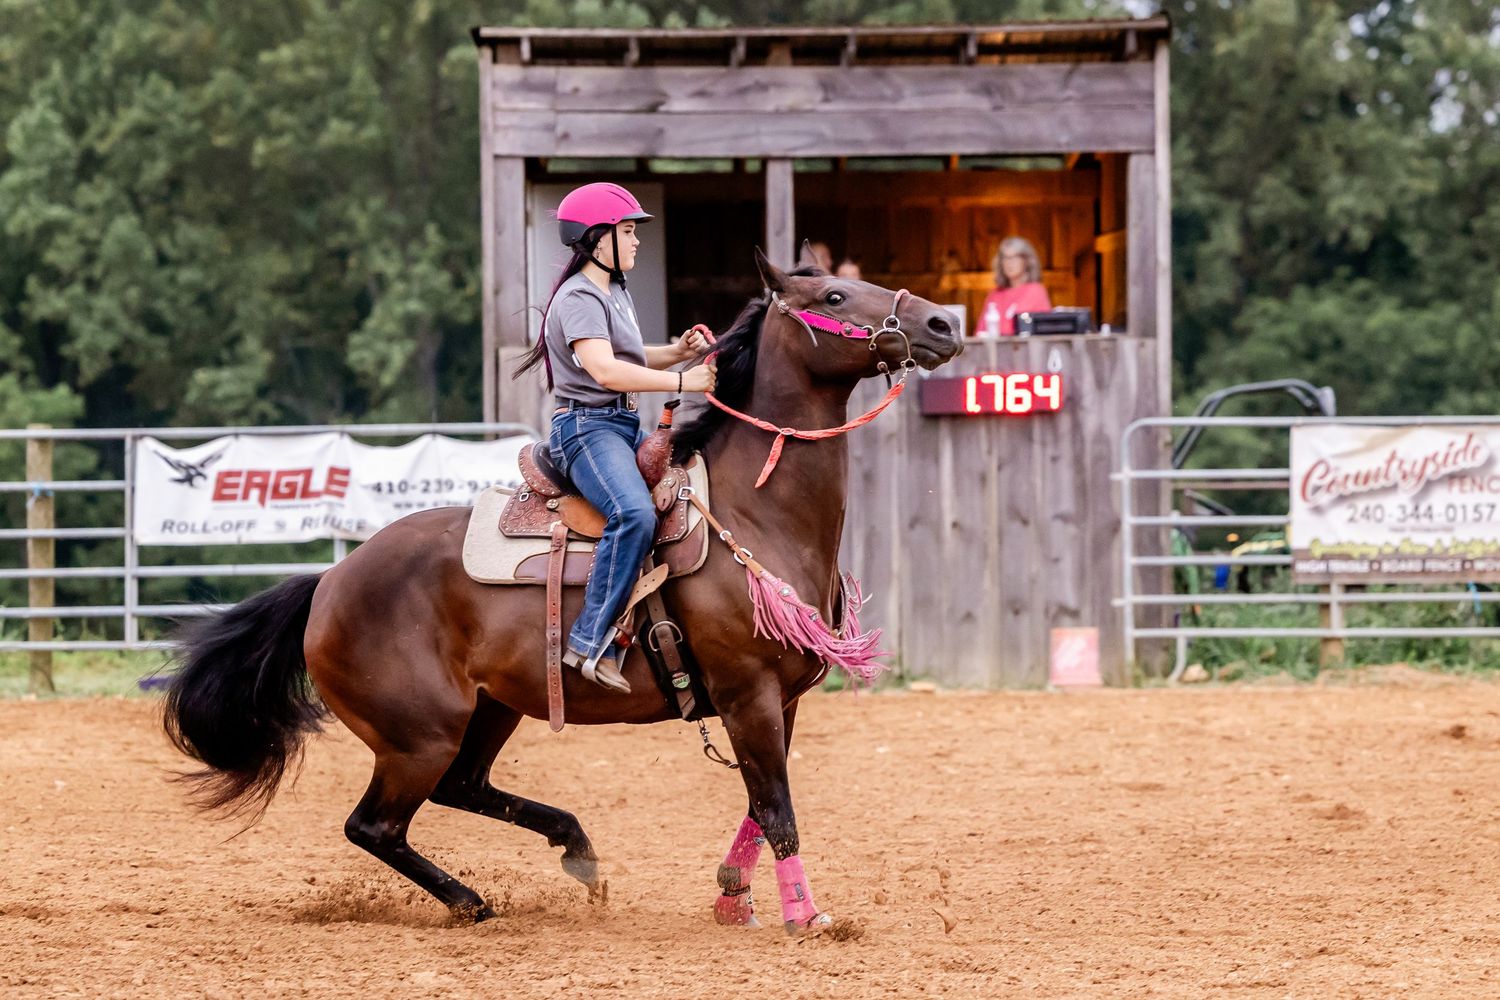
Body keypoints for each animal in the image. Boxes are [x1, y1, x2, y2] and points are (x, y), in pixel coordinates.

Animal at [163, 251, 962, 935]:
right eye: (833, 297)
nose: (942, 325)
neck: (755, 511)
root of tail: (329, 582)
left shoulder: (780, 699)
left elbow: (759, 807)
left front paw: (734, 898)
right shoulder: (749, 694)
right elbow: (777, 810)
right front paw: (808, 917)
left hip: (490, 710)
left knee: (464, 787)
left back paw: (575, 848)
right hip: (417, 735)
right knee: (376, 824)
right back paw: (472, 902)